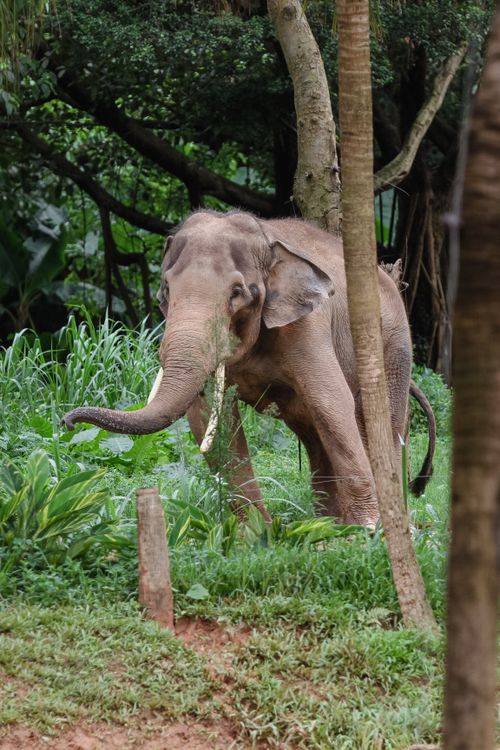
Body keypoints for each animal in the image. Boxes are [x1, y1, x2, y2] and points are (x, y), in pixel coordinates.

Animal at [63, 210, 435, 527]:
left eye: (238, 292)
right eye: (165, 289)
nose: (67, 421)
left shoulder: (308, 326)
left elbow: (331, 403)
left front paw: (368, 531)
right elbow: (210, 420)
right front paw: (259, 535)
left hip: (394, 347)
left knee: (377, 424)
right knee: (315, 434)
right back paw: (327, 526)